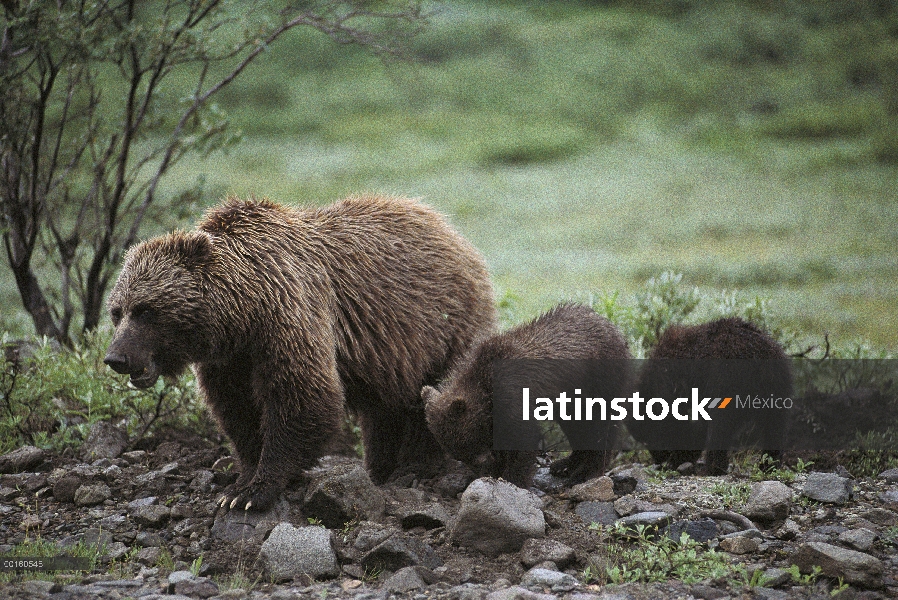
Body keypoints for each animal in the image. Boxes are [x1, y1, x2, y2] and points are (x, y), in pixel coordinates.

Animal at [107, 195, 496, 508]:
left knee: (432, 395)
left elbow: (301, 395)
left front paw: (254, 491)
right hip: (388, 356)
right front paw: (241, 480)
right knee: (383, 408)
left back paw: (416, 466)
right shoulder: (230, 359)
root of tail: (450, 230)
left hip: (442, 326)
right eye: (116, 311)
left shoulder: (288, 313)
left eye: (145, 310)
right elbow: (237, 409)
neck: (240, 312)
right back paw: (380, 466)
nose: (116, 358)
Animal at [422, 304, 628, 488]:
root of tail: (612, 327)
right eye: (461, 455)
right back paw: (565, 464)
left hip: (599, 380)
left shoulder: (513, 394)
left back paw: (585, 472)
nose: (485, 470)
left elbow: (523, 440)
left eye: (474, 453)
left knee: (600, 425)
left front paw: (512, 479)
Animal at [628, 316, 788, 476]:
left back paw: (712, 467)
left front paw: (678, 459)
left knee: (720, 426)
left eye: (648, 436)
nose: (659, 460)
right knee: (774, 425)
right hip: (777, 387)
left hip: (728, 381)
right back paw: (768, 465)